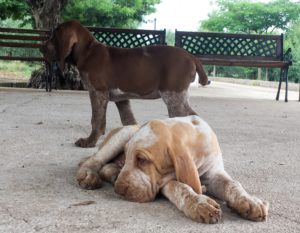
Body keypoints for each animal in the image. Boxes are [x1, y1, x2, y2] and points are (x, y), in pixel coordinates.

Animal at [40, 20, 209, 147]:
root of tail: (191, 57)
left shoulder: (98, 92)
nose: (41, 49)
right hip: (178, 97)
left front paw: (90, 141)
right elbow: (128, 120)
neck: (88, 52)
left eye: (54, 36)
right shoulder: (121, 98)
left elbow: (96, 120)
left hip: (173, 97)